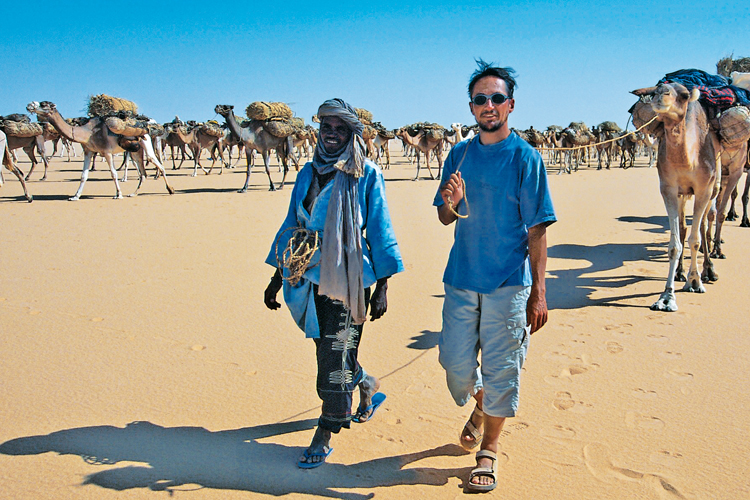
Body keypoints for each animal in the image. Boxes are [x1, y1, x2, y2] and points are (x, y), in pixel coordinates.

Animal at [26, 100, 175, 200]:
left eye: (44, 104)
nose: (29, 105)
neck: (87, 133)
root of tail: (147, 123)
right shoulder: (88, 151)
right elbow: (83, 175)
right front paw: (75, 196)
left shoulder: (106, 152)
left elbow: (113, 174)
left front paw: (118, 194)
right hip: (136, 149)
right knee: (143, 172)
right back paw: (134, 193)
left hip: (146, 141)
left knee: (156, 162)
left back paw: (170, 189)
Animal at [636, 82, 724, 310]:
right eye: (656, 89)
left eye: (684, 95)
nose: (661, 94)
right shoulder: (668, 189)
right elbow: (675, 244)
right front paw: (667, 297)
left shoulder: (703, 188)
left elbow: (695, 239)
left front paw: (695, 281)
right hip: (684, 194)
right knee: (685, 227)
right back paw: (680, 272)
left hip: (714, 185)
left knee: (705, 223)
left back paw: (709, 270)